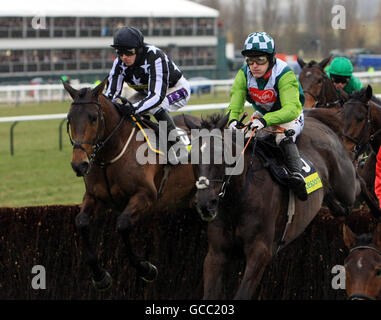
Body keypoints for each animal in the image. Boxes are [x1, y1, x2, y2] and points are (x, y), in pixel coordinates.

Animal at [61, 78, 199, 290]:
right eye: (69, 119)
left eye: (93, 118)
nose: (79, 164)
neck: (110, 157)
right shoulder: (94, 196)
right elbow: (81, 222)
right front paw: (100, 276)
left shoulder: (146, 195)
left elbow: (123, 225)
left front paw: (146, 268)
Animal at [183, 113, 360, 300]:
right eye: (191, 157)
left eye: (220, 153)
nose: (205, 204)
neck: (238, 199)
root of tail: (320, 122)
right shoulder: (216, 254)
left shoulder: (260, 252)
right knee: (338, 205)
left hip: (346, 187)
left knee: (358, 184)